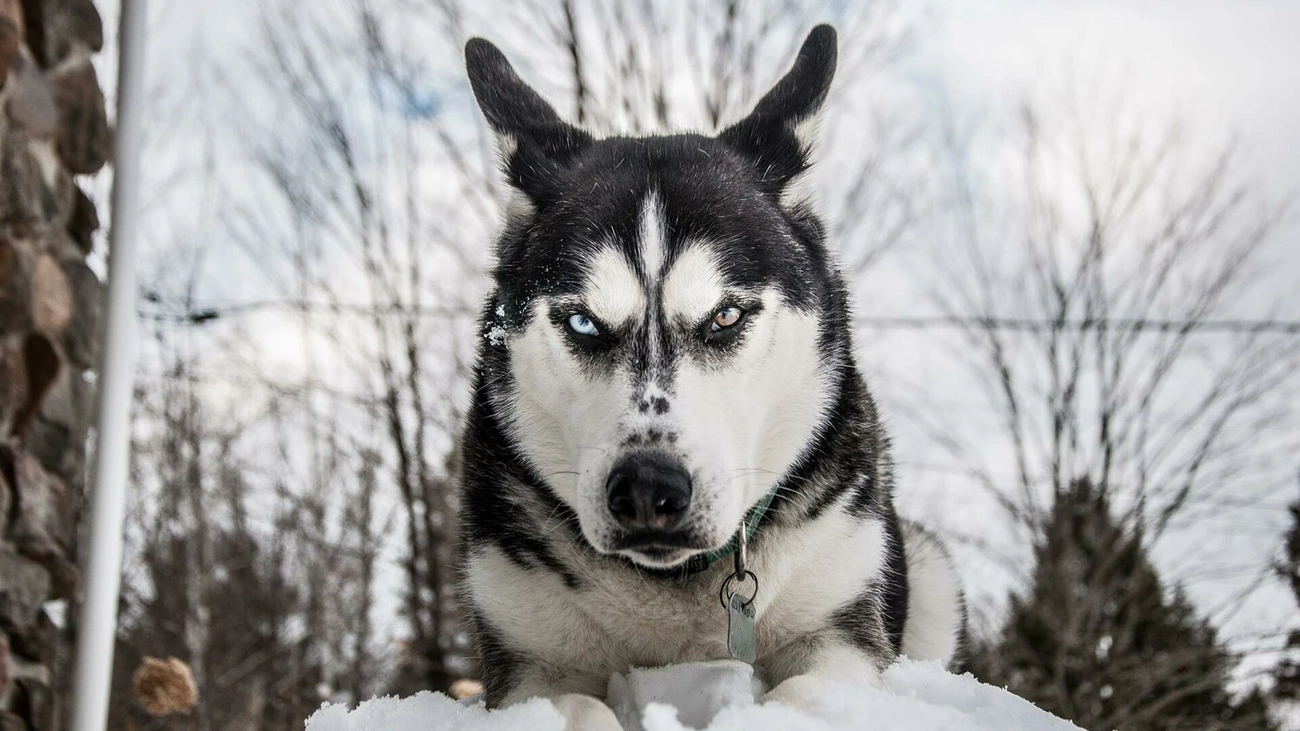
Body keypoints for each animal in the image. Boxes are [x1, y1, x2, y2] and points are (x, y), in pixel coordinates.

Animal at [460, 24, 967, 728]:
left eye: (725, 315)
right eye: (583, 322)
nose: (648, 489)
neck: (672, 585)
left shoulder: (840, 636)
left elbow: (804, 694)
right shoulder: (530, 659)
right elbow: (572, 706)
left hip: (928, 568)